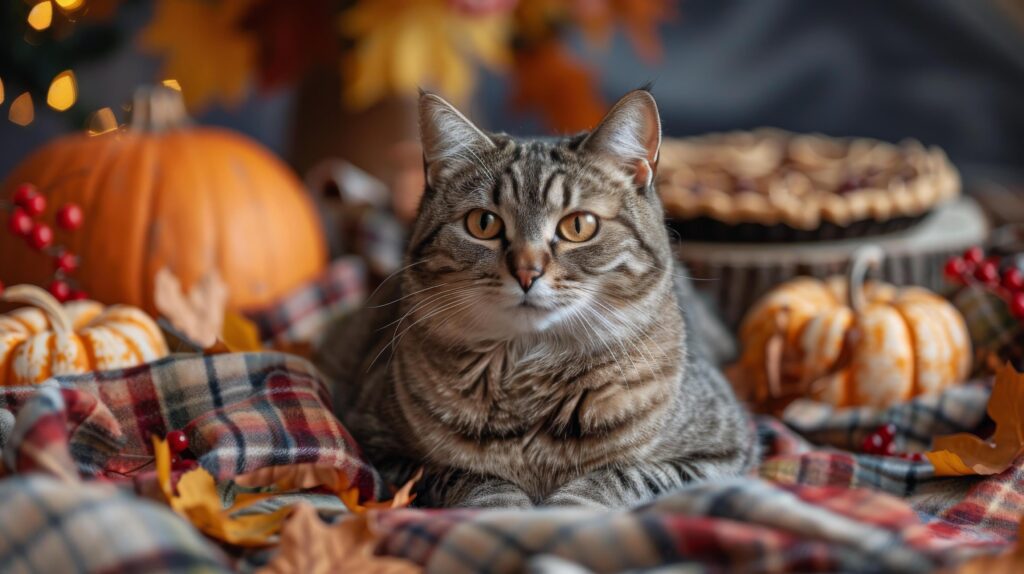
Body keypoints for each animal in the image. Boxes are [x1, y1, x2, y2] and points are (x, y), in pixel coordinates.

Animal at [315, 89, 757, 505]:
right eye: (483, 223)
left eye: (579, 225)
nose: (527, 271)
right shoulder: (381, 449)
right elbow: (472, 476)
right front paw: (503, 507)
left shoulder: (722, 451)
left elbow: (618, 474)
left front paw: (569, 506)